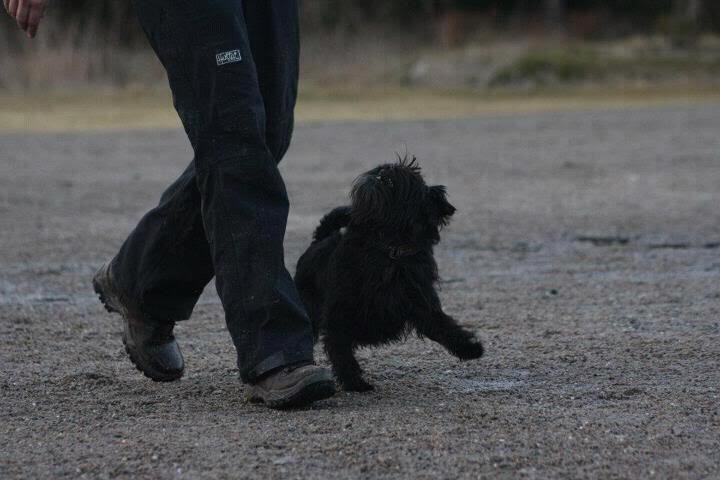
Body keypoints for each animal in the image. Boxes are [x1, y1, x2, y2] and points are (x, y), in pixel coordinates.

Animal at [292, 156, 484, 392]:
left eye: (395, 182)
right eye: (380, 172)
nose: (381, 172)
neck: (388, 248)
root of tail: (320, 239)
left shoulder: (423, 304)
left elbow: (445, 326)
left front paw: (470, 349)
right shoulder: (339, 313)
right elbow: (340, 348)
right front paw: (354, 382)